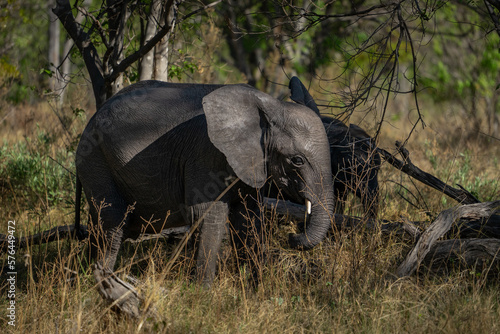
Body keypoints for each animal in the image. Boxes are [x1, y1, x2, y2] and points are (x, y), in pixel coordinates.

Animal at [75, 80, 336, 316]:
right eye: (297, 160)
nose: (293, 237)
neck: (267, 106)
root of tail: (91, 119)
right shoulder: (205, 154)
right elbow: (207, 214)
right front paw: (202, 297)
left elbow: (248, 218)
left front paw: (254, 293)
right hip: (96, 160)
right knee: (112, 223)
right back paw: (103, 281)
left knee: (100, 224)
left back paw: (86, 278)